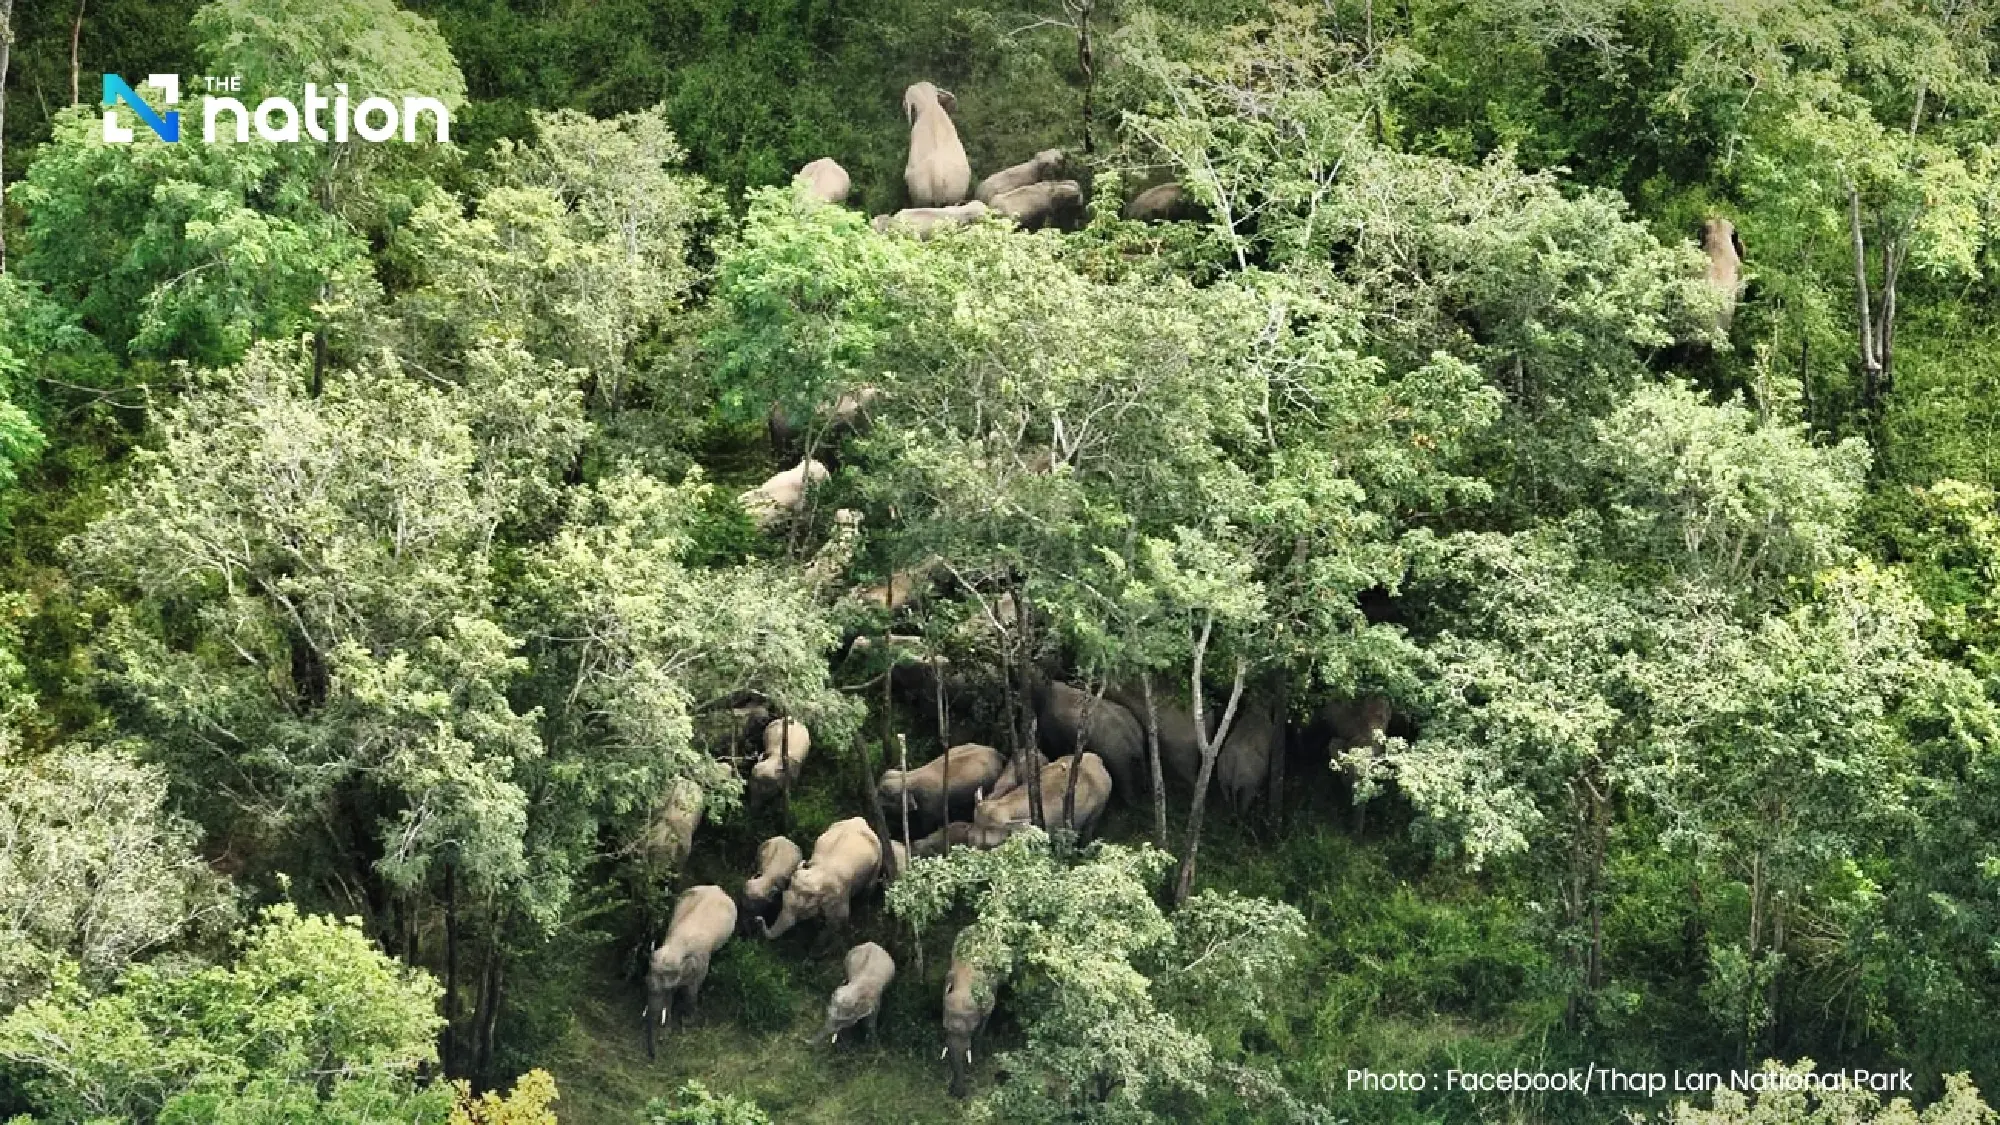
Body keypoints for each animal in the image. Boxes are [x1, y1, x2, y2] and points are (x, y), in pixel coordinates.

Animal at [643, 885, 736, 1059]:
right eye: (645, 982)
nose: (653, 1057)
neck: (676, 948)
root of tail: (716, 887)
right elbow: (670, 997)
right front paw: (667, 1032)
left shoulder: (701, 964)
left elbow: (691, 991)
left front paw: (687, 1022)